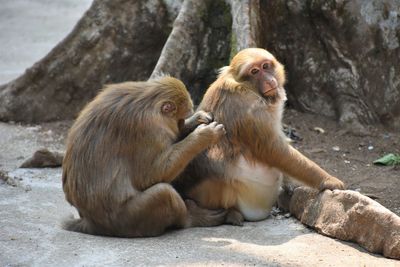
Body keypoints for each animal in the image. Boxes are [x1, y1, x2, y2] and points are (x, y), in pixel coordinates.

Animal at [61, 76, 227, 238]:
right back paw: (190, 218)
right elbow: (149, 176)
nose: (181, 123)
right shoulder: (149, 130)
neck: (148, 101)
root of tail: (90, 222)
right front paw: (204, 135)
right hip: (128, 220)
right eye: (178, 119)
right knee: (163, 193)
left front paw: (195, 120)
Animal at [173, 48, 346, 226]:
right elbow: (274, 150)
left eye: (265, 66)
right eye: (254, 71)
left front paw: (290, 184)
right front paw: (327, 180)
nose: (269, 80)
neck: (246, 87)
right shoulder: (248, 108)